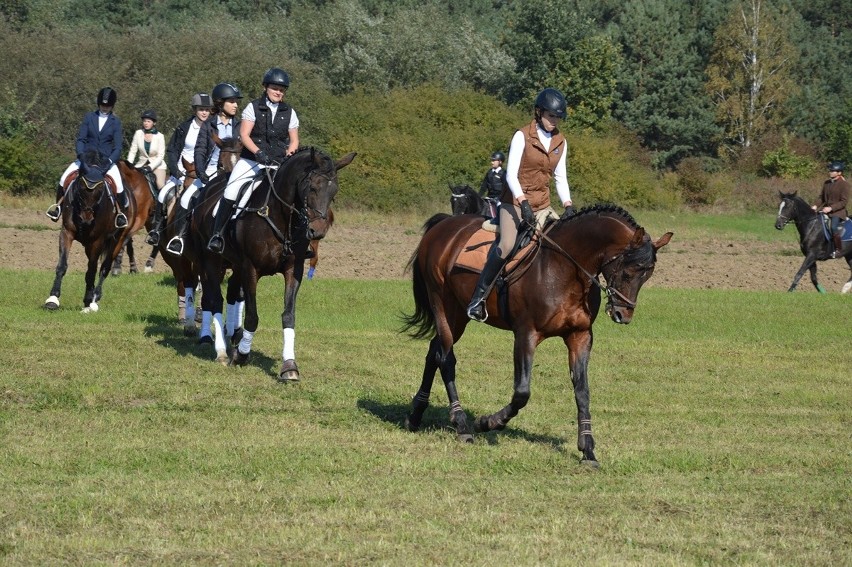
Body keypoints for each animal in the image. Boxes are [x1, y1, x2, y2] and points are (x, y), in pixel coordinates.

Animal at [45, 155, 156, 312]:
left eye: (101, 190)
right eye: (80, 188)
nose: (86, 219)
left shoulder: (97, 241)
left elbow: (92, 271)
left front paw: (88, 300)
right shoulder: (67, 233)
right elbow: (62, 265)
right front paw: (53, 299)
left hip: (118, 239)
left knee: (105, 267)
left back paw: (95, 297)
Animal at [187, 146, 356, 378]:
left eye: (334, 192)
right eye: (312, 187)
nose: (318, 232)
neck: (280, 215)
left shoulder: (293, 270)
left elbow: (288, 315)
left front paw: (289, 366)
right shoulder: (250, 269)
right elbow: (252, 317)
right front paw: (241, 355)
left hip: (235, 265)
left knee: (231, 294)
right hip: (210, 261)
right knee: (214, 301)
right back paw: (221, 351)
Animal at [400, 206, 672, 468]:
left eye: (647, 275)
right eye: (628, 272)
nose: (622, 315)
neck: (566, 269)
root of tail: (445, 224)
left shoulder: (580, 336)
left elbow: (582, 391)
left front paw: (588, 451)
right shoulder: (526, 334)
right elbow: (522, 392)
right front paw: (489, 422)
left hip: (458, 314)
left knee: (434, 352)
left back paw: (415, 415)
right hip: (443, 305)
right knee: (446, 359)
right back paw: (462, 424)